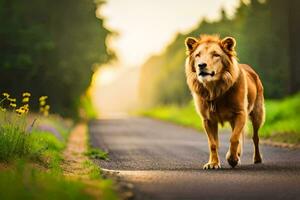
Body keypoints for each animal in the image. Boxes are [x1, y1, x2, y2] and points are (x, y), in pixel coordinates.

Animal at [184, 34, 264, 169]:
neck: (214, 89)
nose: (201, 65)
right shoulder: (208, 120)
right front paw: (213, 163)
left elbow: (234, 138)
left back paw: (257, 159)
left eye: (216, 55)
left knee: (255, 137)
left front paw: (232, 159)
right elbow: (213, 144)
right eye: (197, 55)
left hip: (257, 115)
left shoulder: (240, 113)